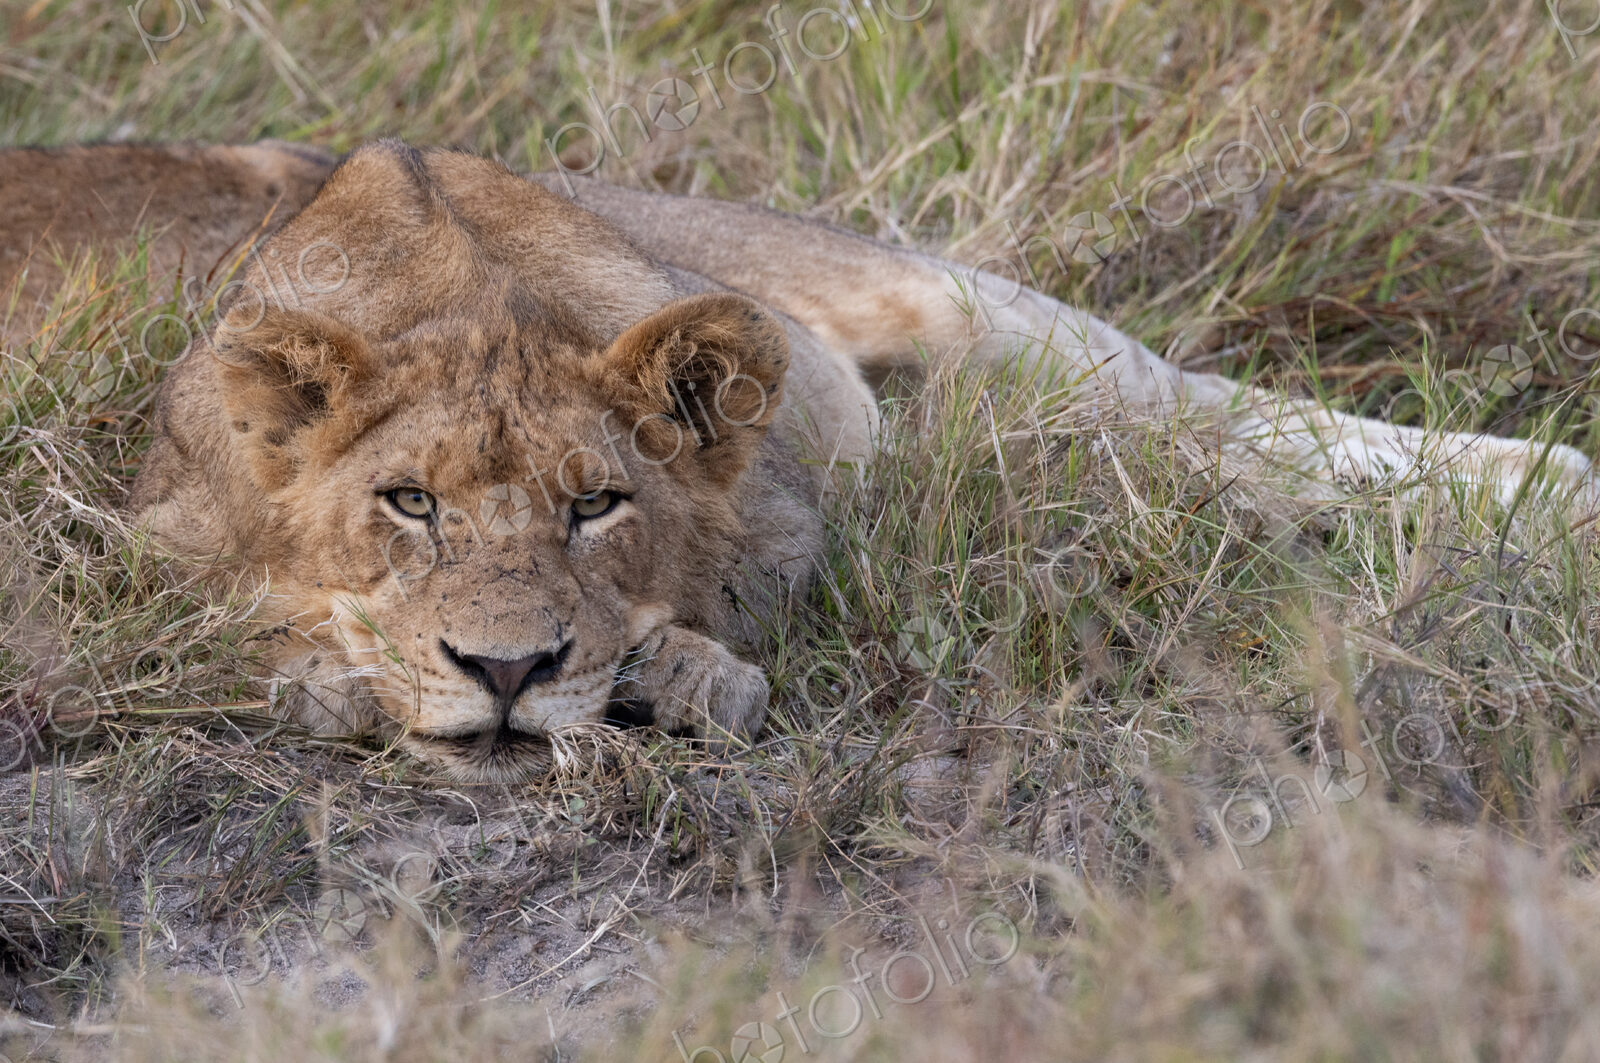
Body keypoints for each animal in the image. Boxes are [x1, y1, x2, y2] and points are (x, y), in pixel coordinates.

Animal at [1, 139, 1591, 781]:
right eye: (408, 503)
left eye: (597, 505)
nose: (507, 673)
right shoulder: (142, 531)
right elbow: (232, 617)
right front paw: (328, 675)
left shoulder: (782, 510)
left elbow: (744, 614)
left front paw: (680, 676)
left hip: (959, 309)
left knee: (1211, 410)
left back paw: (1547, 487)